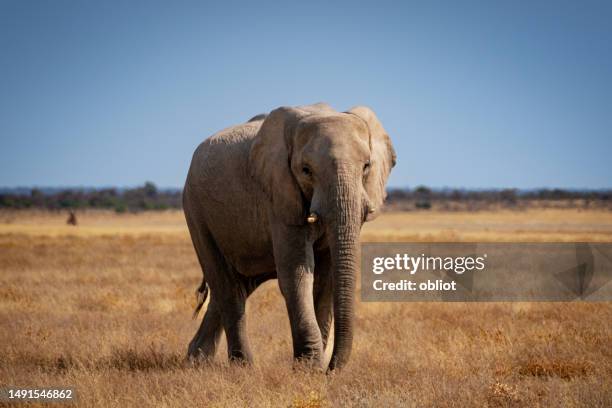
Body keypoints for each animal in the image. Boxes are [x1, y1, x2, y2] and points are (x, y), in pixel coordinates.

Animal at [184, 103, 396, 370]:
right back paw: (242, 367)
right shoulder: (279, 195)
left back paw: (196, 361)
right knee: (226, 285)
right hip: (196, 211)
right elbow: (297, 274)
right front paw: (308, 369)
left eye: (367, 166)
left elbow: (326, 279)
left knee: (239, 285)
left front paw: (315, 366)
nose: (332, 370)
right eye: (306, 170)